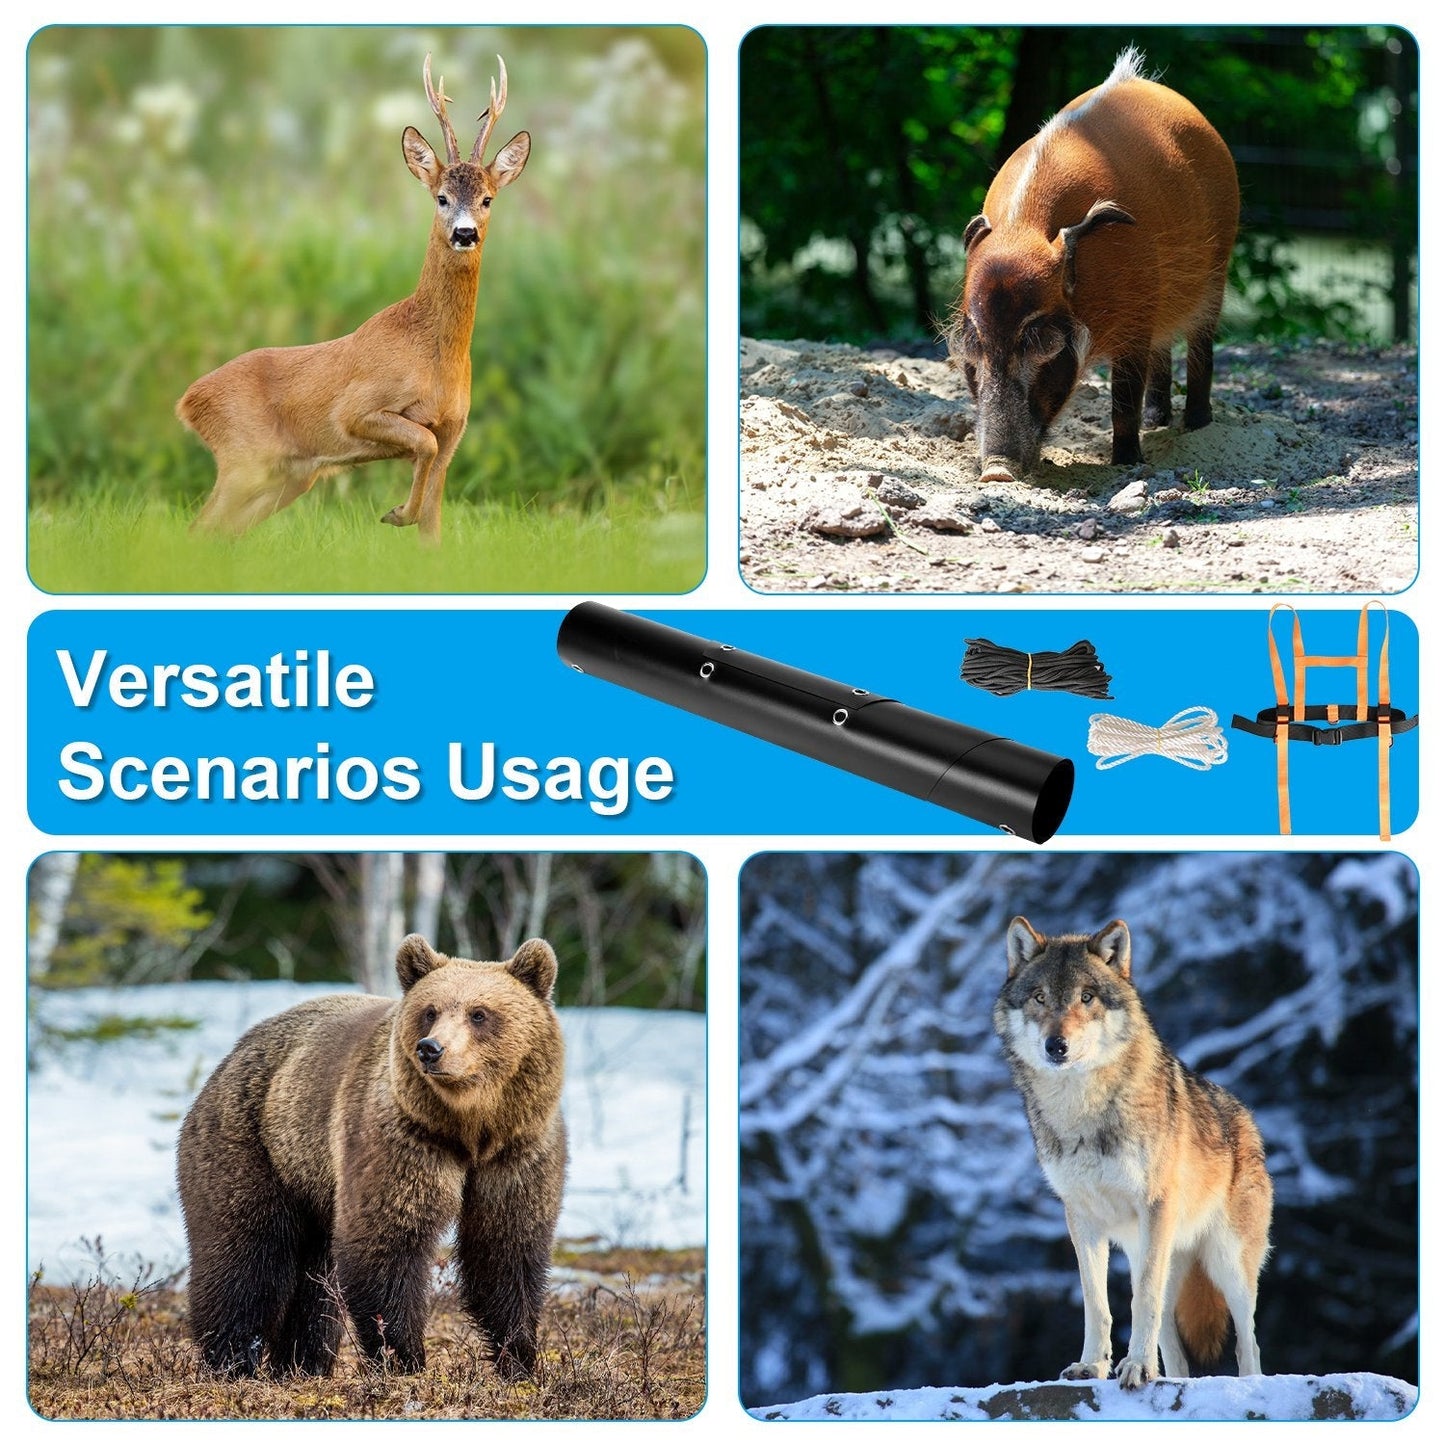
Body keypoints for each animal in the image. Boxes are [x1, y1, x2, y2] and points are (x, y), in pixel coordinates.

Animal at [177, 55, 530, 543]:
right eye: (441, 197)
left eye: (488, 199)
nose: (464, 233)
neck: (435, 355)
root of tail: (188, 401)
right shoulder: (357, 409)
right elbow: (422, 444)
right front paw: (397, 512)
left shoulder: (454, 432)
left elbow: (433, 527)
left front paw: (409, 519)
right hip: (243, 459)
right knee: (198, 528)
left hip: (287, 476)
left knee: (215, 533)